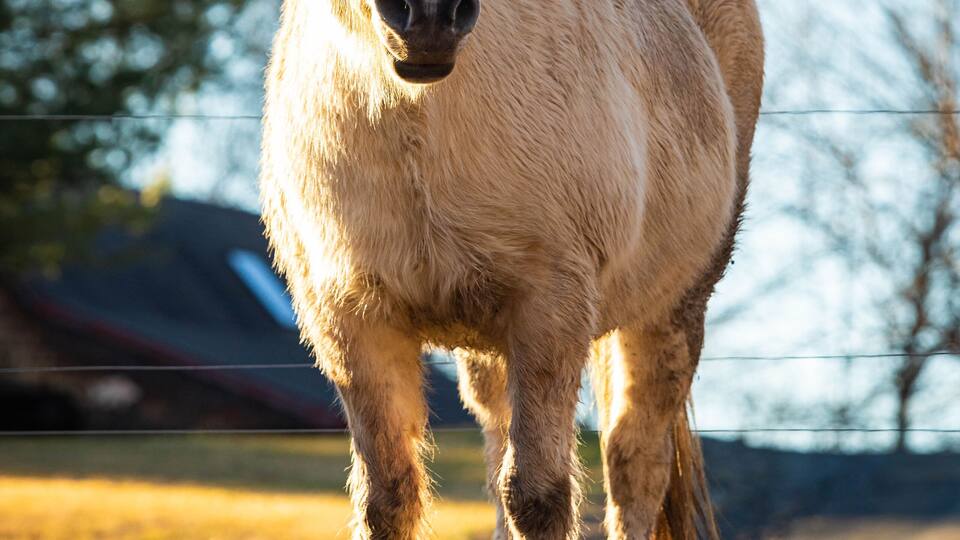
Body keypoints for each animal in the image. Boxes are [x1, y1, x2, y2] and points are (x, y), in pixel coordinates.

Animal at [259, 0, 763, 537]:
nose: (430, 17)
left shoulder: (550, 308)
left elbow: (537, 495)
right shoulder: (349, 323)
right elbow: (387, 500)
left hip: (671, 312)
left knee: (634, 465)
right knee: (499, 435)